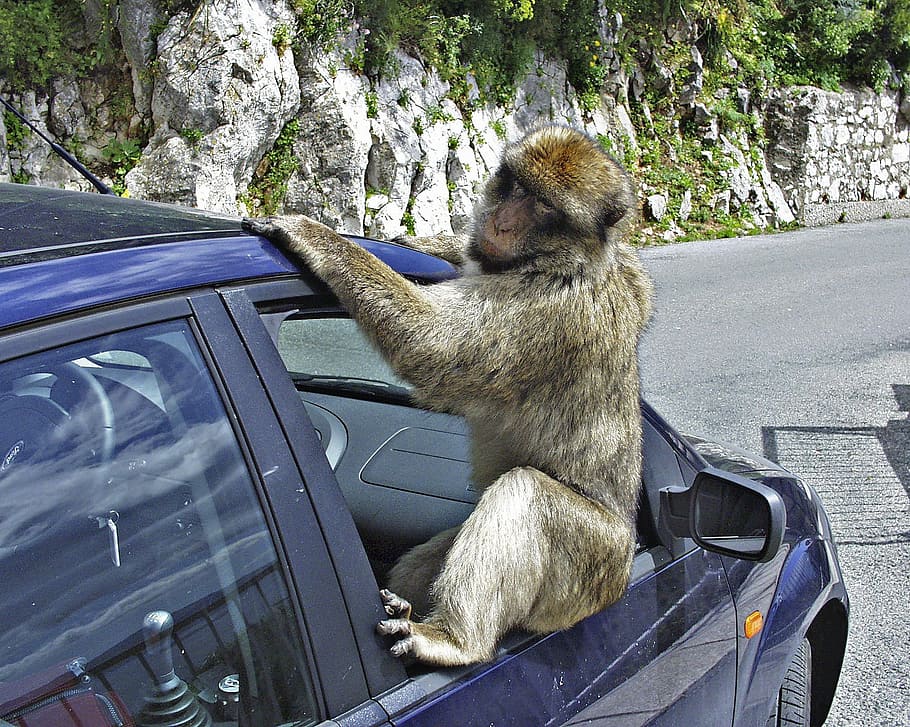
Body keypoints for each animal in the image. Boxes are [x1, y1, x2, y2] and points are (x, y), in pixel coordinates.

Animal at [243, 125, 653, 667]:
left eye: (543, 206)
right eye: (515, 186)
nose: (501, 221)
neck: (569, 259)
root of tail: (628, 563)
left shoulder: (545, 309)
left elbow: (432, 345)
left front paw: (312, 233)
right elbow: (464, 257)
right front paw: (414, 240)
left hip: (588, 570)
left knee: (526, 493)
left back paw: (454, 640)